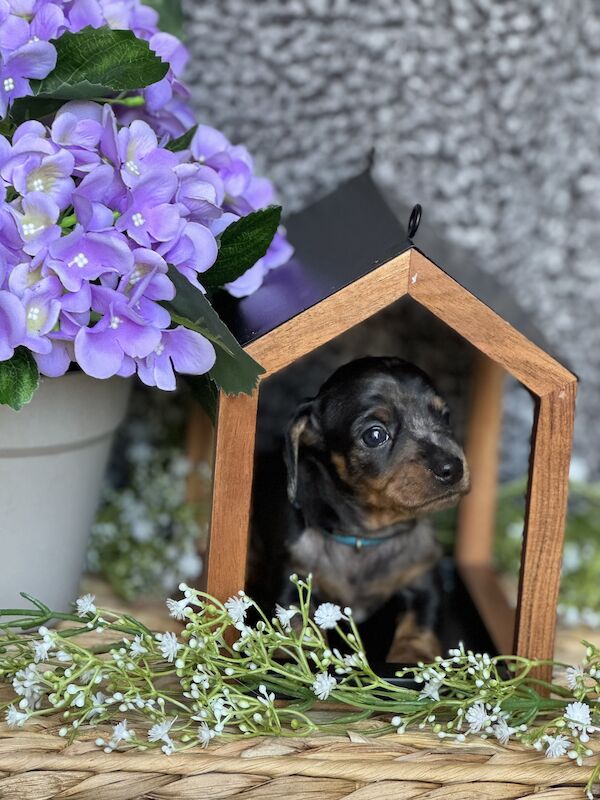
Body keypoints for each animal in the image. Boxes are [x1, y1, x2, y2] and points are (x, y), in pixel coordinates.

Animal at [284, 356, 472, 664]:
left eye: (444, 417)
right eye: (375, 435)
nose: (452, 468)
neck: (367, 537)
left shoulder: (422, 579)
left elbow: (419, 625)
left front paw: (412, 656)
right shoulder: (296, 576)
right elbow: (299, 626)